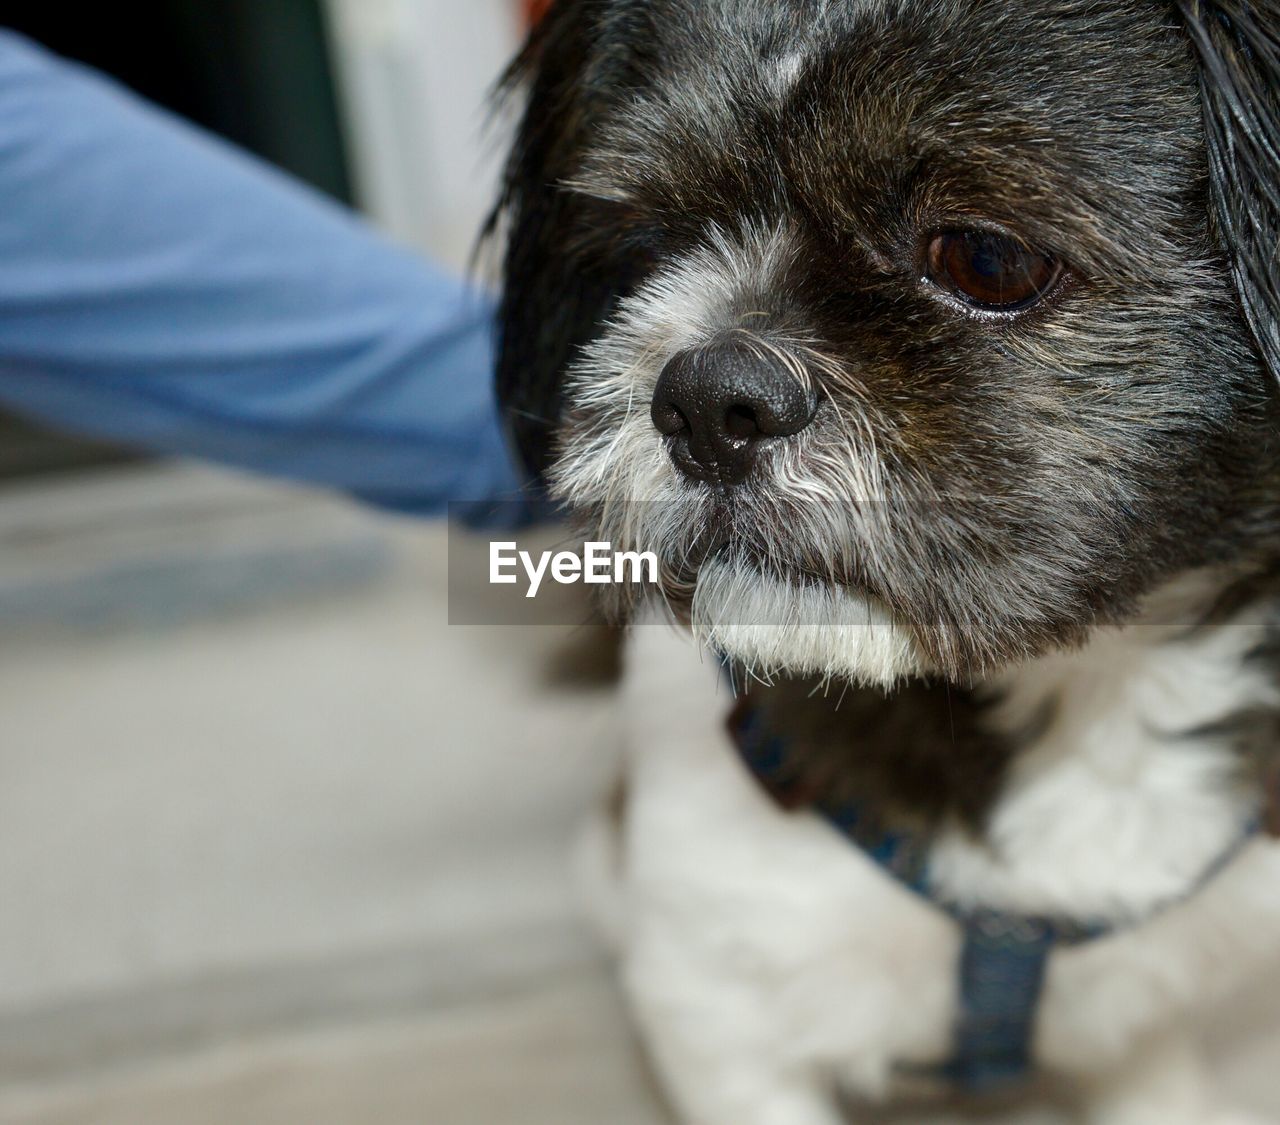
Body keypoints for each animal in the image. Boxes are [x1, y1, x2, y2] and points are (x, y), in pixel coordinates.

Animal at [488, 2, 1280, 1125]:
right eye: (645, 249)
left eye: (986, 257)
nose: (708, 398)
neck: (1071, 695)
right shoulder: (718, 1003)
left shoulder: (1139, 996)